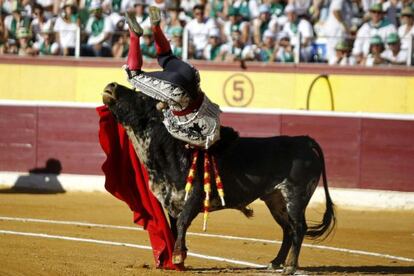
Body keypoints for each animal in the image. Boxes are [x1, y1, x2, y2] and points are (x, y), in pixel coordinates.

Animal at [101, 82, 336, 274]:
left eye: (141, 98)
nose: (111, 86)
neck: (172, 151)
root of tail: (304, 140)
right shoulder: (172, 202)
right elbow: (176, 227)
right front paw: (179, 260)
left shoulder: (194, 197)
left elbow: (183, 223)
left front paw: (177, 257)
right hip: (275, 199)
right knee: (287, 228)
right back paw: (275, 263)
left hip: (296, 195)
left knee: (299, 227)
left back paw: (290, 266)